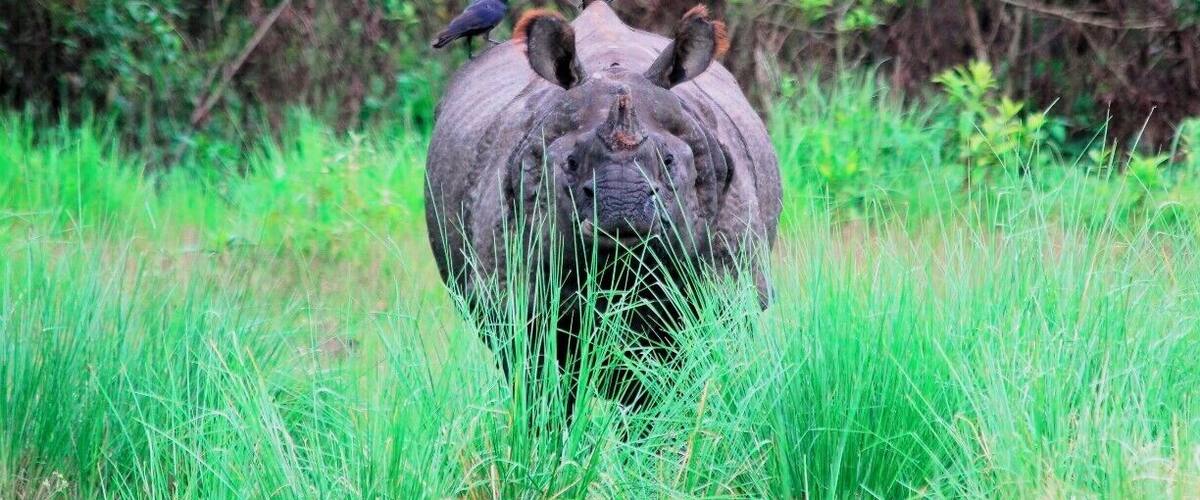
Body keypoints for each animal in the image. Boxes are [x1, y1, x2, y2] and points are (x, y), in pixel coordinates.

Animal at [424, 1, 781, 417]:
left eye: (669, 161)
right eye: (571, 163)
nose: (622, 211)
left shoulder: (726, 289)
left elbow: (672, 388)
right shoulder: (511, 300)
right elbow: (540, 389)